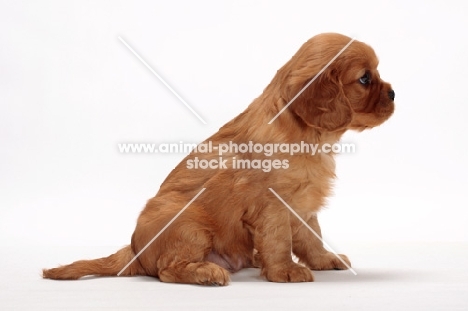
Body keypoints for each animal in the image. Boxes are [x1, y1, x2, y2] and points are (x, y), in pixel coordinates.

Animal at [43, 33, 394, 286]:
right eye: (365, 79)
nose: (393, 93)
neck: (310, 137)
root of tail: (134, 251)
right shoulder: (272, 205)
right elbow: (280, 239)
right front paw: (285, 271)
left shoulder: (303, 204)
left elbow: (312, 236)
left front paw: (324, 260)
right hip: (190, 224)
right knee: (167, 270)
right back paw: (207, 273)